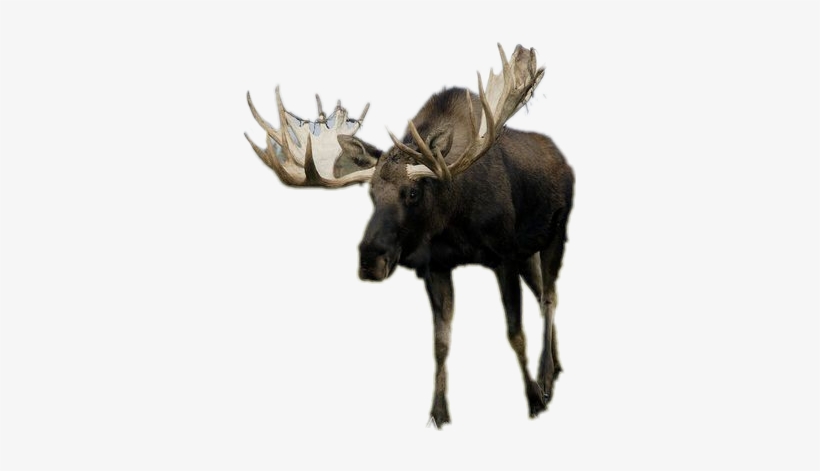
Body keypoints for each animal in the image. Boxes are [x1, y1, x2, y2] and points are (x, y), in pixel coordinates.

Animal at [244, 44, 574, 428]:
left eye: (413, 193)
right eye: (370, 194)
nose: (370, 260)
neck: (454, 218)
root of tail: (563, 160)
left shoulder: (503, 256)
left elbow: (515, 334)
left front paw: (534, 399)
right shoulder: (437, 267)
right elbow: (440, 342)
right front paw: (438, 413)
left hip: (554, 236)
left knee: (549, 298)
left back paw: (546, 376)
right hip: (528, 252)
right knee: (542, 295)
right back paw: (556, 366)